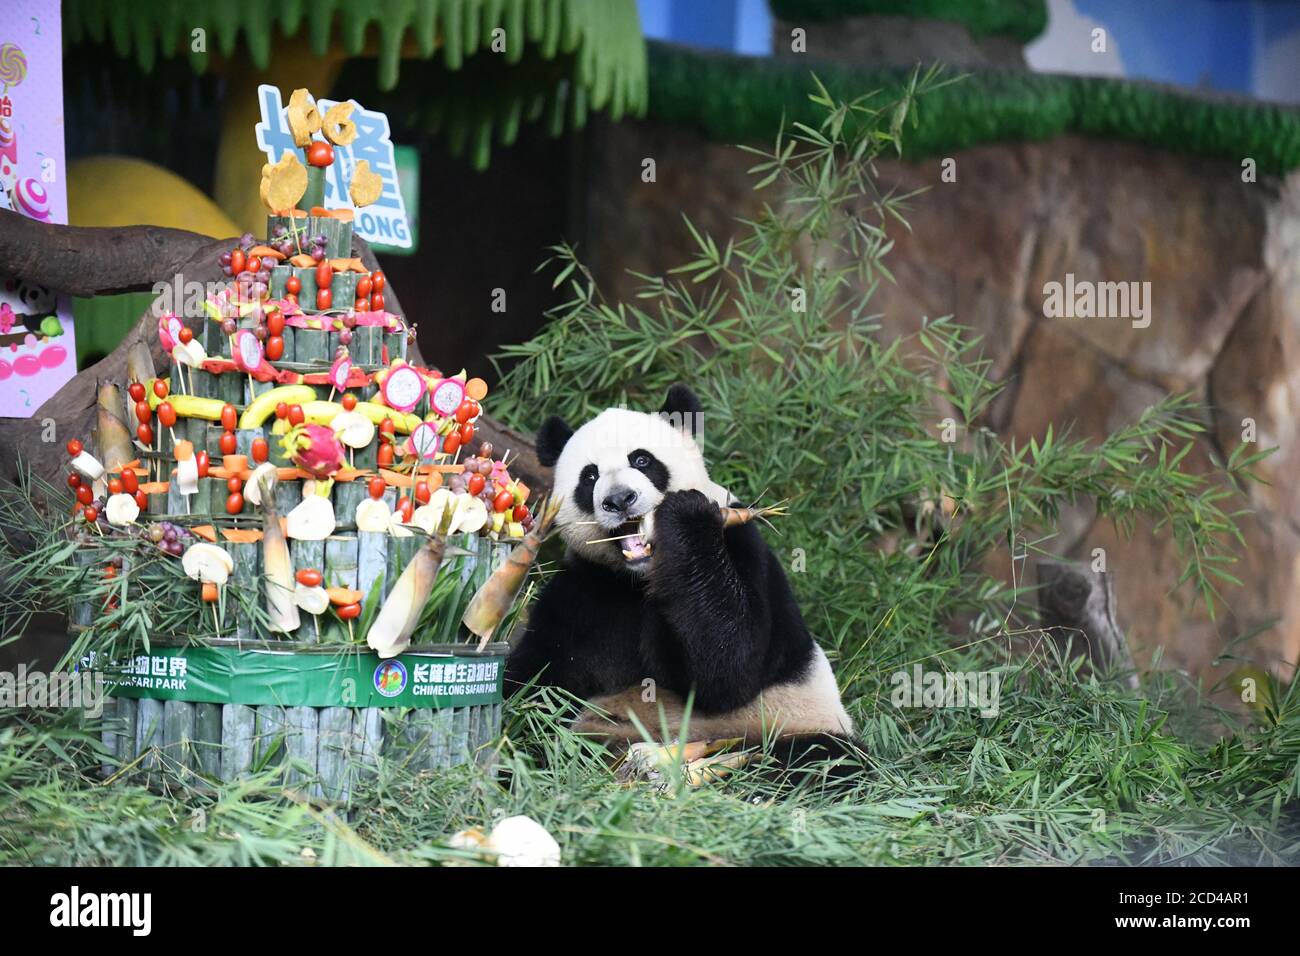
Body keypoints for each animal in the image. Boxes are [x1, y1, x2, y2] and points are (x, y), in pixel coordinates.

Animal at [501, 379, 857, 764]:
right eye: (590, 476)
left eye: (642, 460)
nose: (619, 499)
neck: (640, 577)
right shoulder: (587, 588)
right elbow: (538, 677)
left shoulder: (744, 550)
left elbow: (730, 667)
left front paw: (683, 514)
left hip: (785, 723)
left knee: (821, 760)